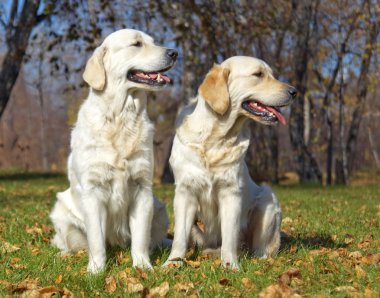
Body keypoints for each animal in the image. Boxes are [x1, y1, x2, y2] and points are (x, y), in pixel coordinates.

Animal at [49, 29, 178, 274]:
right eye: (136, 44)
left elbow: (140, 239)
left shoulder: (142, 189)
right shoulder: (93, 191)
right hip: (62, 212)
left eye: (153, 41)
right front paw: (96, 270)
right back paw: (63, 254)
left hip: (159, 209)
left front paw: (143, 266)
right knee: (69, 244)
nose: (174, 52)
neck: (121, 117)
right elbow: (96, 240)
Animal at [163, 56, 296, 270]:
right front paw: (172, 263)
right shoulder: (185, 191)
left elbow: (229, 235)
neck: (214, 139)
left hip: (267, 198)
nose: (294, 91)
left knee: (259, 250)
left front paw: (230, 265)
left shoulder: (231, 192)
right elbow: (179, 238)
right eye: (258, 74)